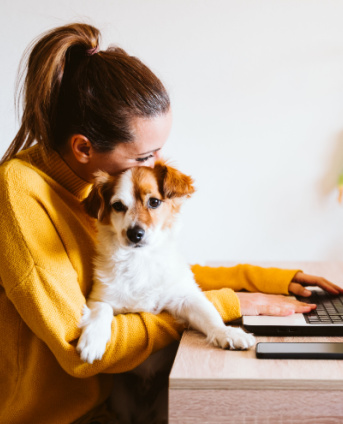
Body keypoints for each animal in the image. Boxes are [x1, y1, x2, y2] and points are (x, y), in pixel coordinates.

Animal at [77, 161, 255, 366]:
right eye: (118, 206)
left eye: (154, 202)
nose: (135, 234)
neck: (140, 259)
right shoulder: (99, 298)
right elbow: (101, 310)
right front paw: (93, 340)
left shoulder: (185, 297)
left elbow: (209, 315)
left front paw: (228, 333)